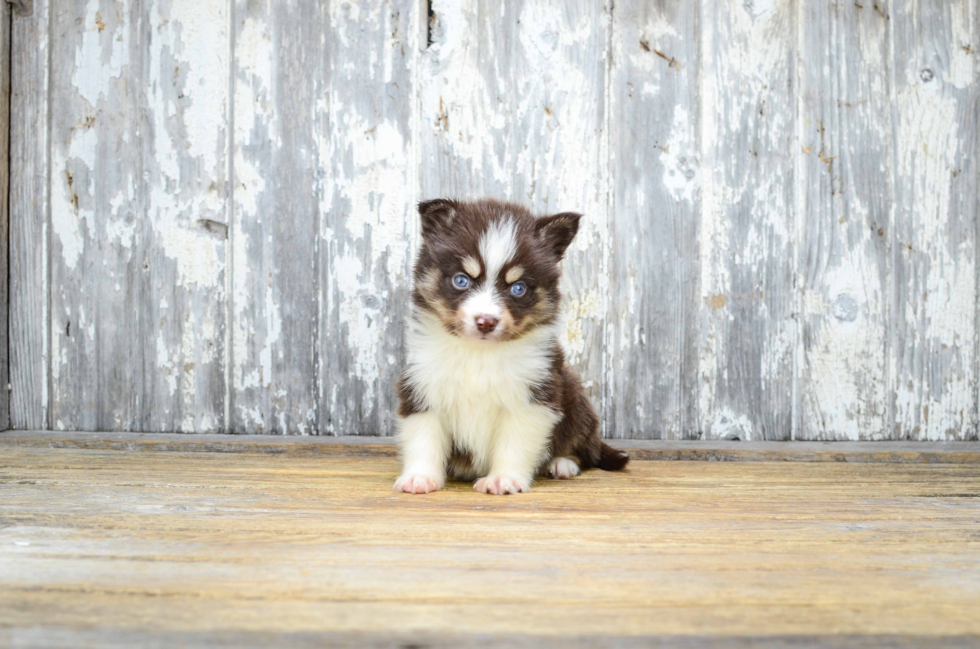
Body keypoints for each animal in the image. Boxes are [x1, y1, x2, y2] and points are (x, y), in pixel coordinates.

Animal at [394, 197, 632, 496]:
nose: (486, 321)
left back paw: (562, 463)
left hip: (574, 394)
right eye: (461, 280)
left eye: (518, 288)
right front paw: (420, 477)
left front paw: (502, 479)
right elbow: (423, 438)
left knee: (580, 445)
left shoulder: (534, 395)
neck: (479, 353)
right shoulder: (422, 386)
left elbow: (514, 444)